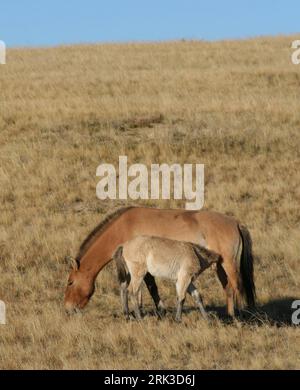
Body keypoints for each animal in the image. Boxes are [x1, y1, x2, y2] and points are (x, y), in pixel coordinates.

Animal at [63, 206, 255, 316]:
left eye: (70, 282)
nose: (68, 308)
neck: (124, 228)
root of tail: (235, 223)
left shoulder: (144, 267)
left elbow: (150, 287)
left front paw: (159, 310)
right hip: (220, 265)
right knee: (228, 288)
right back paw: (230, 315)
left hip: (229, 264)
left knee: (237, 286)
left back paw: (240, 316)